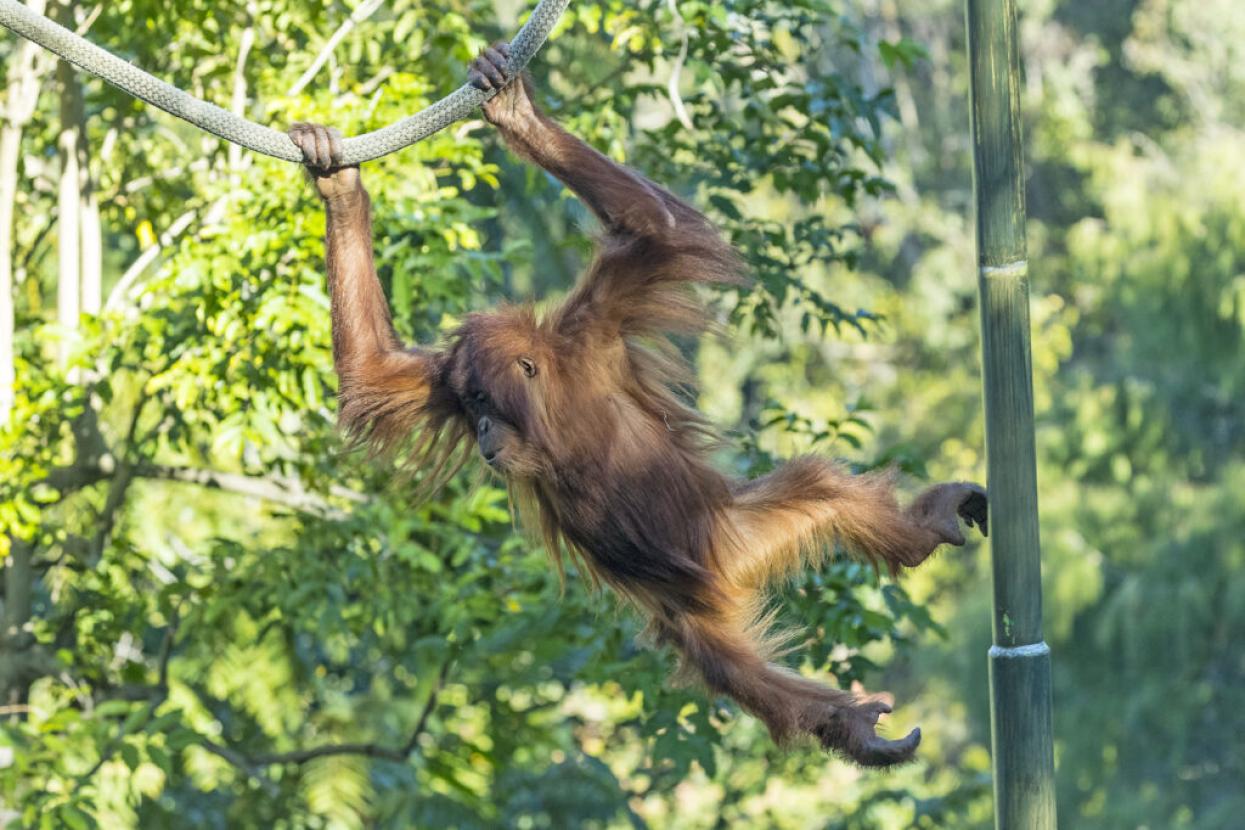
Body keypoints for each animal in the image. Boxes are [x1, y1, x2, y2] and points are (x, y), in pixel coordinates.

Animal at [287, 42, 988, 767]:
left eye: (486, 404)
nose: (479, 430)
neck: (554, 398)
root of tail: (727, 576)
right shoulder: (444, 380)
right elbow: (371, 376)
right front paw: (337, 184)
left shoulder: (600, 321)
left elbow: (657, 231)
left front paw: (514, 111)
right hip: (699, 596)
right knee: (724, 661)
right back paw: (849, 723)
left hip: (734, 531)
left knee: (818, 488)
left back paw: (926, 526)